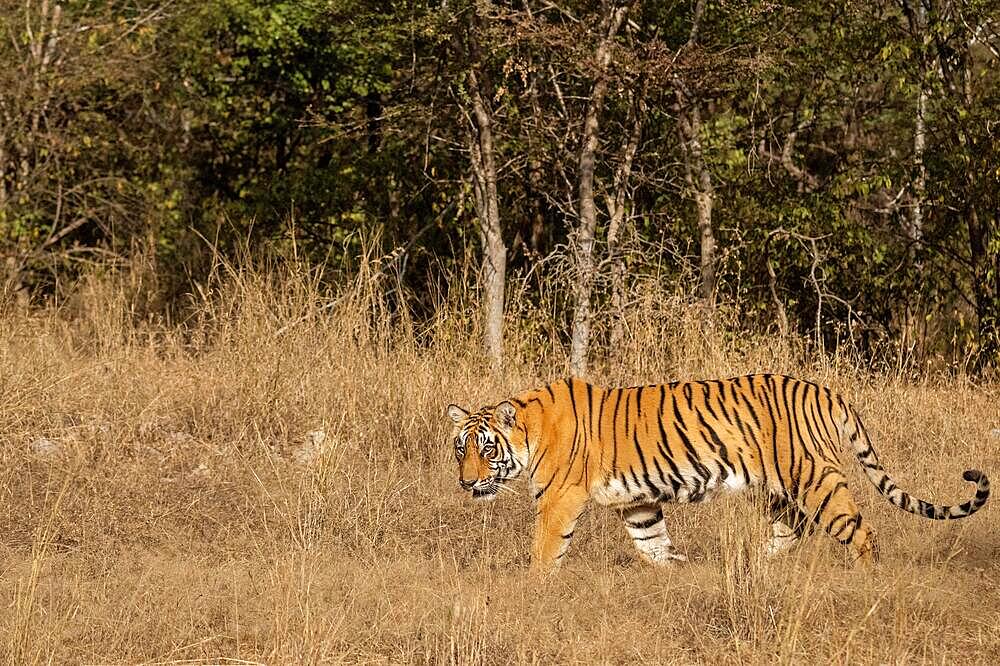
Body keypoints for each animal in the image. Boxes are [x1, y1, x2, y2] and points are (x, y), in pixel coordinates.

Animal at [448, 374, 992, 572]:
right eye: (460, 449)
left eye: (486, 449)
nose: (466, 482)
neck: (530, 431)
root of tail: (827, 391)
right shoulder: (638, 503)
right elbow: (653, 544)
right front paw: (678, 576)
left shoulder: (559, 499)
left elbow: (544, 551)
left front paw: (531, 590)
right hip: (778, 488)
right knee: (792, 528)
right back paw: (757, 566)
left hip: (813, 477)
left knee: (859, 530)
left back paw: (864, 578)